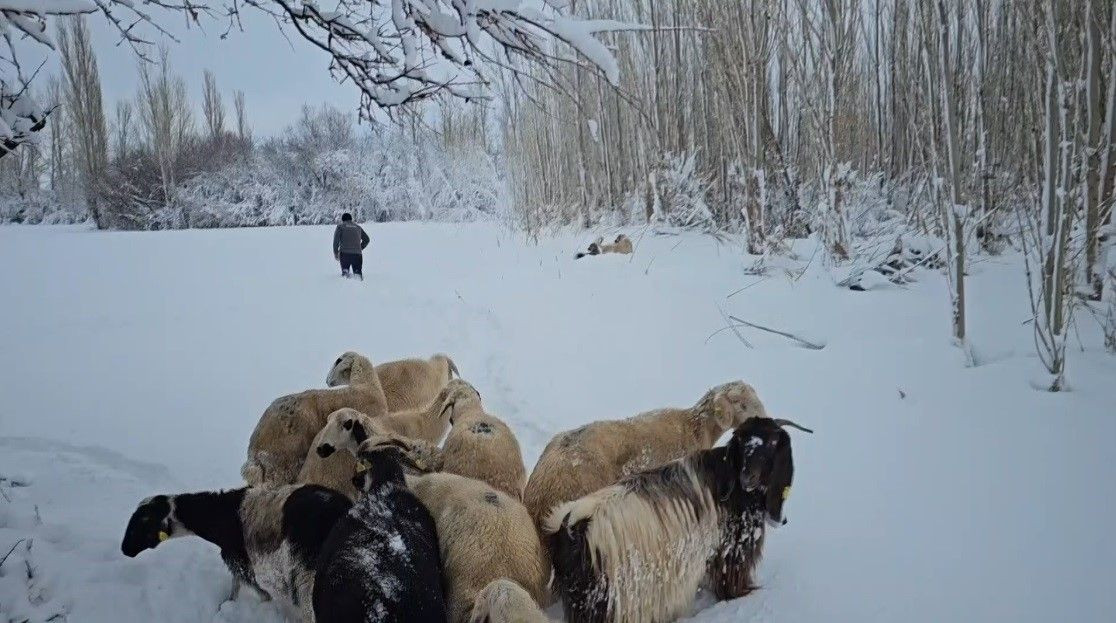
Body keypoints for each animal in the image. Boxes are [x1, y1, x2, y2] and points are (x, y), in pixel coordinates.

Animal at [121, 480, 350, 620]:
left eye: (142, 522)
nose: (124, 550)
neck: (222, 514)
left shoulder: (236, 555)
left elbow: (253, 587)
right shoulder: (238, 557)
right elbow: (237, 584)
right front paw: (227, 605)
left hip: (307, 577)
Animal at [544, 419, 807, 623]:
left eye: (773, 443)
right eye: (741, 442)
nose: (748, 477)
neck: (731, 484)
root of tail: (572, 525)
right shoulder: (732, 548)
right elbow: (731, 579)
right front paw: (744, 593)